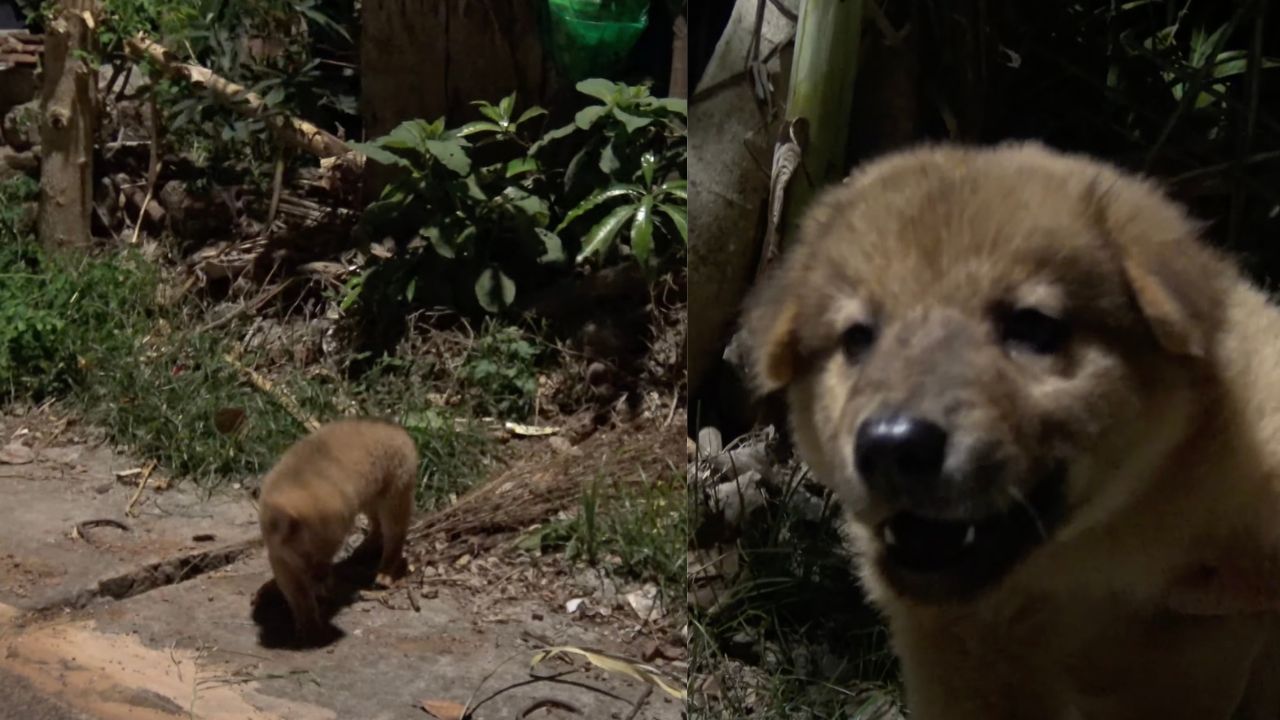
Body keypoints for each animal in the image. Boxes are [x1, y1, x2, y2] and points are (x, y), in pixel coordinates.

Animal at [257, 417, 417, 635]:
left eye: (333, 552)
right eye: (305, 554)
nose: (322, 578)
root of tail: (398, 430)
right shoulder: (280, 557)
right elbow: (298, 594)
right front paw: (307, 622)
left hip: (393, 498)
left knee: (395, 535)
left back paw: (385, 573)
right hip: (370, 499)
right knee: (376, 526)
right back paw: (364, 551)